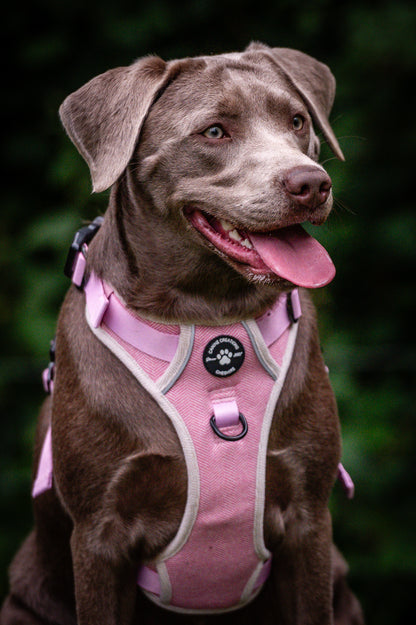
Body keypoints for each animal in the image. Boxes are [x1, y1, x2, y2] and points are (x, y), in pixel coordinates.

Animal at [0, 41, 364, 620]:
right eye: (214, 131)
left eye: (298, 120)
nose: (311, 183)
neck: (209, 321)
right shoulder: (99, 535)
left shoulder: (310, 519)